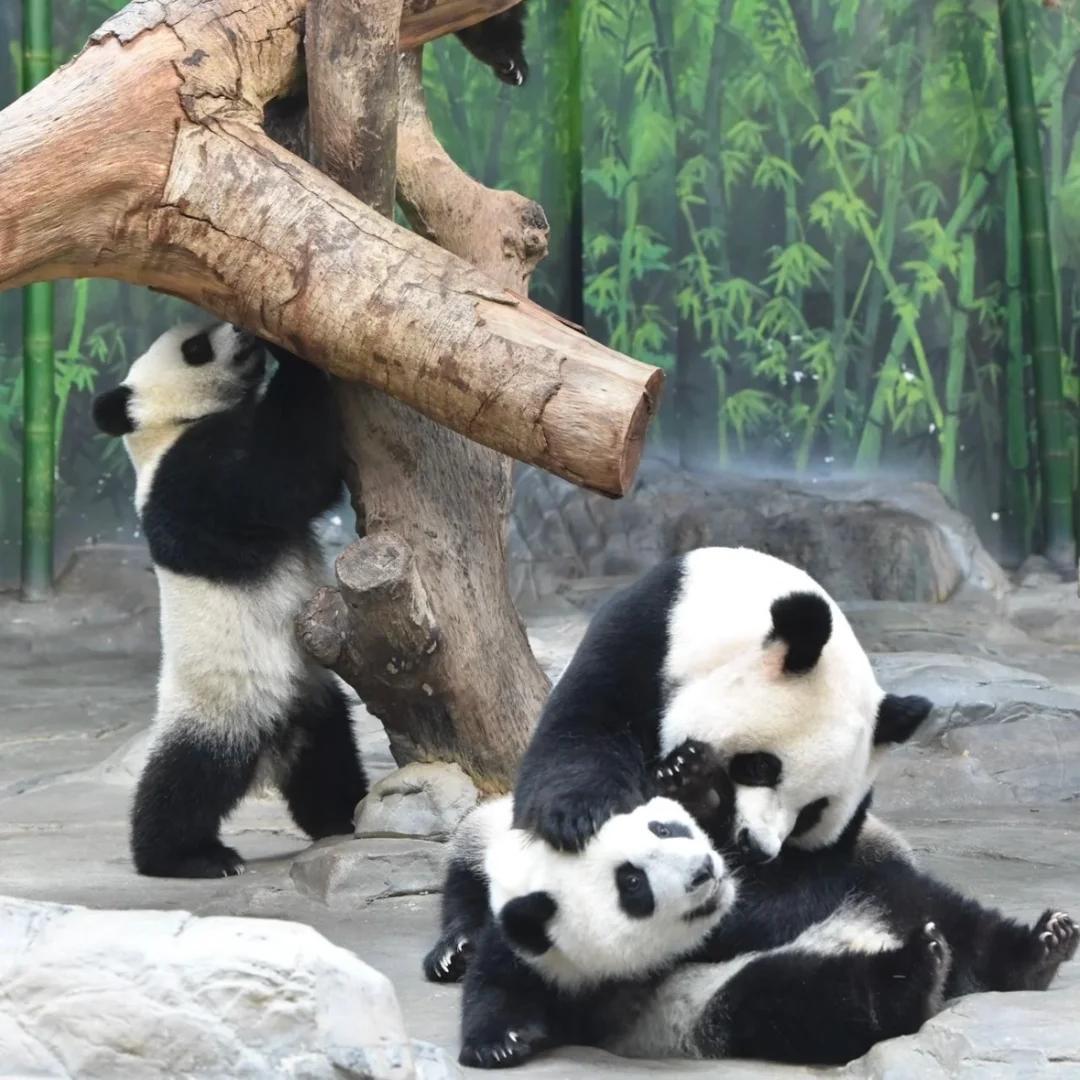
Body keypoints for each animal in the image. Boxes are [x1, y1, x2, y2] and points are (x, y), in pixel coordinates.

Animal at [91, 322, 366, 878]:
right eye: (194, 347)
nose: (241, 331)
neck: (163, 428)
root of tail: (271, 745)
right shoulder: (186, 480)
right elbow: (278, 479)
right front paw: (292, 354)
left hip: (311, 700)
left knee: (327, 760)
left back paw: (340, 817)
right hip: (219, 706)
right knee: (185, 779)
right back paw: (185, 857)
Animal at [512, 546, 934, 860]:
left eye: (812, 813)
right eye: (762, 767)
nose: (758, 847)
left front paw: (697, 793)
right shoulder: (645, 637)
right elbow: (586, 727)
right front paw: (578, 817)